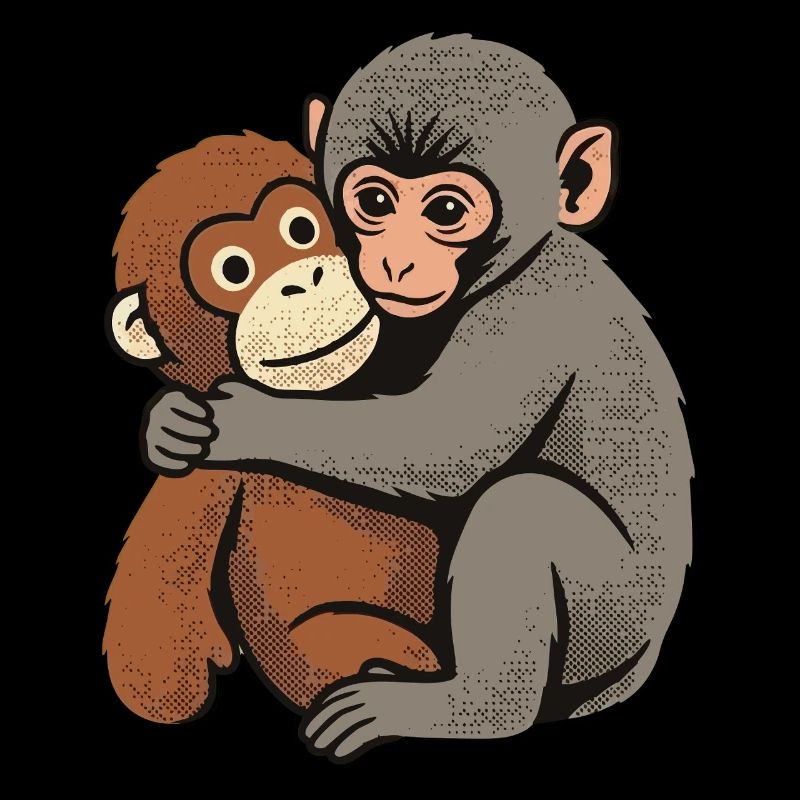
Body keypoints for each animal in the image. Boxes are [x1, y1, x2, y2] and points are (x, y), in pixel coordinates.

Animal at [144, 35, 693, 762]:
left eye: (446, 212)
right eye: (375, 201)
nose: (397, 262)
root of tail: (635, 669)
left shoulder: (530, 311)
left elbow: (446, 448)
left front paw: (245, 421)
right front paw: (166, 427)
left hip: (612, 613)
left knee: (522, 507)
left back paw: (470, 708)